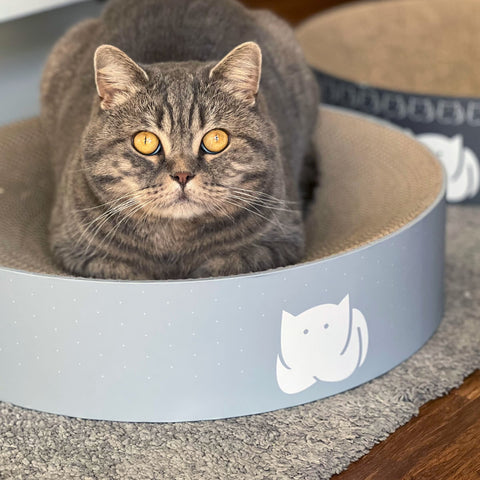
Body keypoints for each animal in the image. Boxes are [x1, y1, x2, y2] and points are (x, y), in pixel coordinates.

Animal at [41, 0, 318, 282]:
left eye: (216, 139)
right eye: (145, 141)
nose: (182, 175)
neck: (173, 246)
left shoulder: (279, 241)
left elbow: (223, 264)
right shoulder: (80, 254)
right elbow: (126, 270)